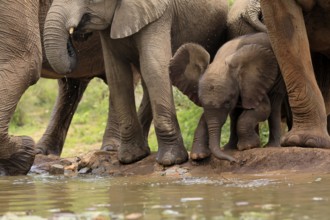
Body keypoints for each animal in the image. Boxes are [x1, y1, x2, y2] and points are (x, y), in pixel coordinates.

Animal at [44, 0, 229, 165]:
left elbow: (153, 67)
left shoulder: (158, 16)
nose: (74, 35)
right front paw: (131, 158)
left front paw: (171, 160)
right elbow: (117, 75)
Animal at [170, 31, 286, 161]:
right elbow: (205, 117)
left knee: (275, 102)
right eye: (201, 102)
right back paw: (230, 148)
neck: (221, 62)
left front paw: (249, 147)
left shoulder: (252, 84)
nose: (235, 161)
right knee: (235, 113)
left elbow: (264, 109)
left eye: (227, 102)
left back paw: (271, 146)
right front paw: (198, 156)